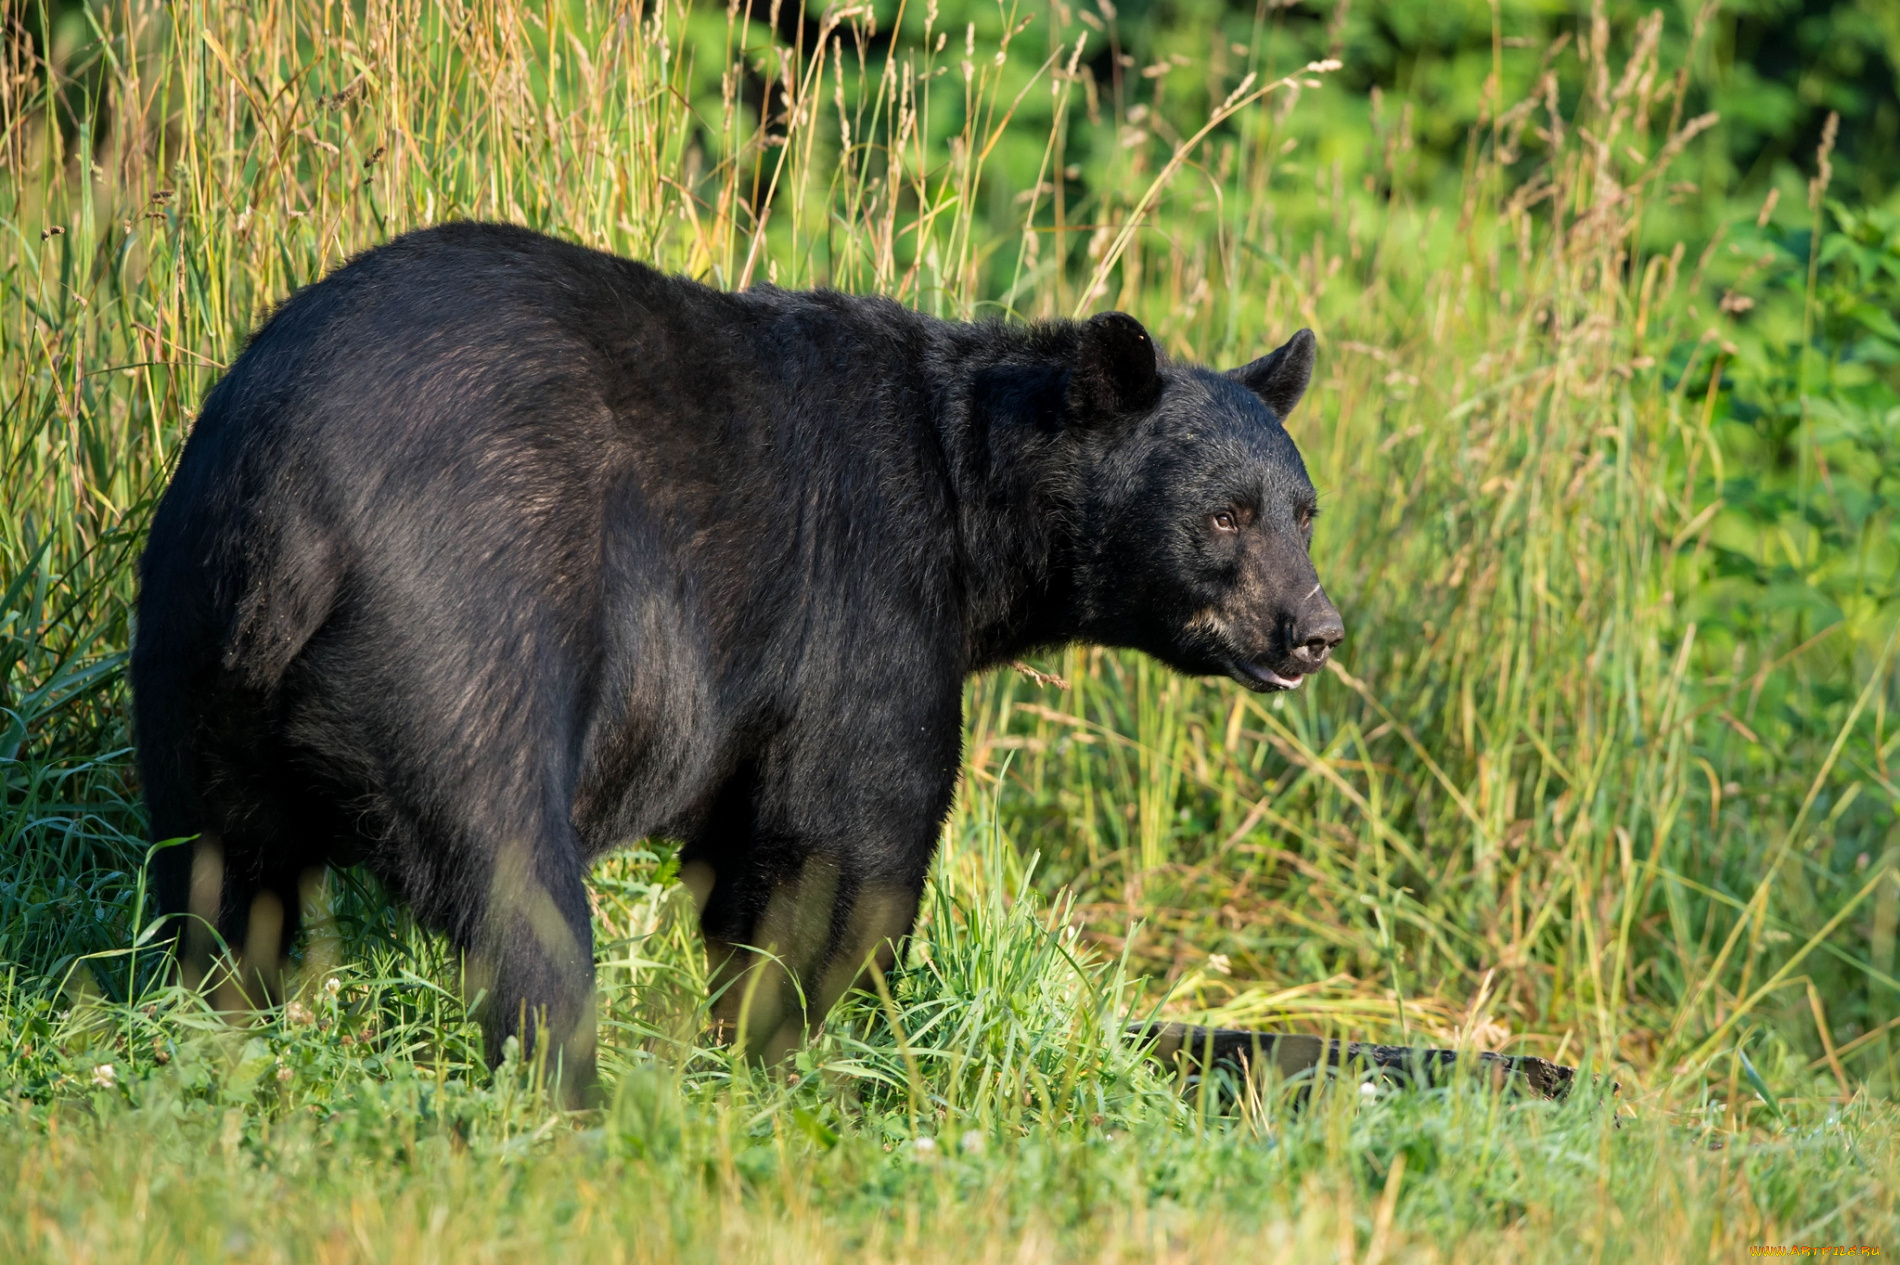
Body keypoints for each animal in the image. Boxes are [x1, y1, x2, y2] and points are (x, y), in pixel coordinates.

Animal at [133, 221, 1345, 1101]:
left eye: (1303, 510)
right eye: (1225, 515)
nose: (1315, 628)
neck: (972, 505)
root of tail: (296, 514)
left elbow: (747, 852)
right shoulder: (864, 592)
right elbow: (848, 836)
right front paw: (804, 1047)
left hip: (193, 659)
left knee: (219, 875)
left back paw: (217, 1022)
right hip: (469, 636)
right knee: (515, 884)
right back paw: (572, 1094)